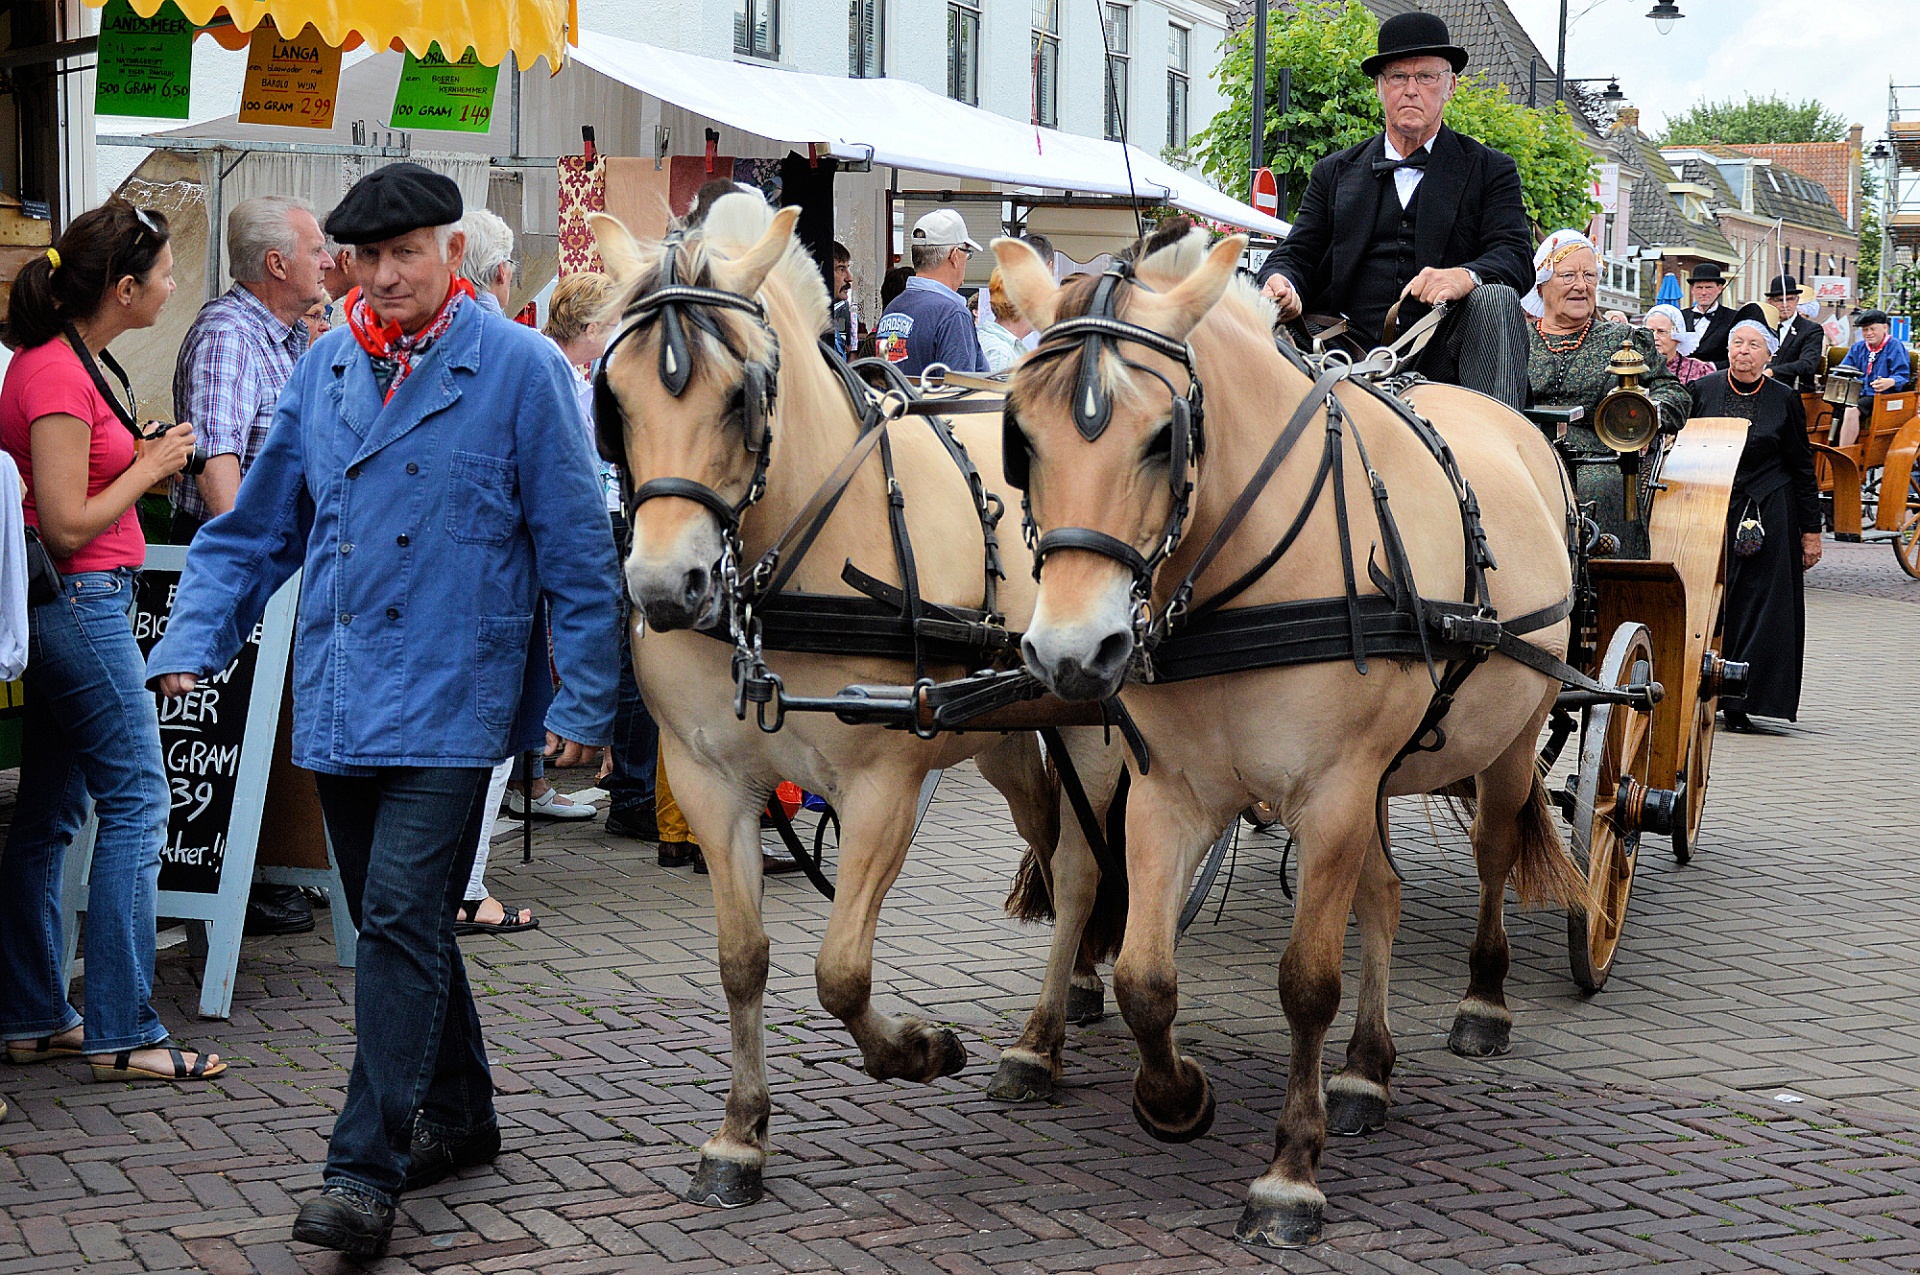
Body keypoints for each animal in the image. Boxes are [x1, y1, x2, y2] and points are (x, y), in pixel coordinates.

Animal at [591, 196, 1121, 1205]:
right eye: (615, 402)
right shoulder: (709, 780)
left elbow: (840, 969)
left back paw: (1038, 1045)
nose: (666, 588)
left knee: (1080, 863)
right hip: (1002, 730)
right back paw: (1077, 986)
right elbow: (742, 959)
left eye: (742, 395)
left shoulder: (883, 787)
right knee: (1051, 836)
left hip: (1097, 724)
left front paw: (918, 1050)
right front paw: (740, 1134)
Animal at [990, 229, 1589, 1244]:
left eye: (1164, 437)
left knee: (1495, 850)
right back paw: (1364, 1071)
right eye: (1018, 439)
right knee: (1383, 894)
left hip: (1508, 739)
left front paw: (1289, 1171)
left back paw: (1482, 1002)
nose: (1073, 653)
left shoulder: (1333, 790)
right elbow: (1146, 975)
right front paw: (1176, 1098)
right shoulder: (1169, 791)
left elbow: (1307, 979)